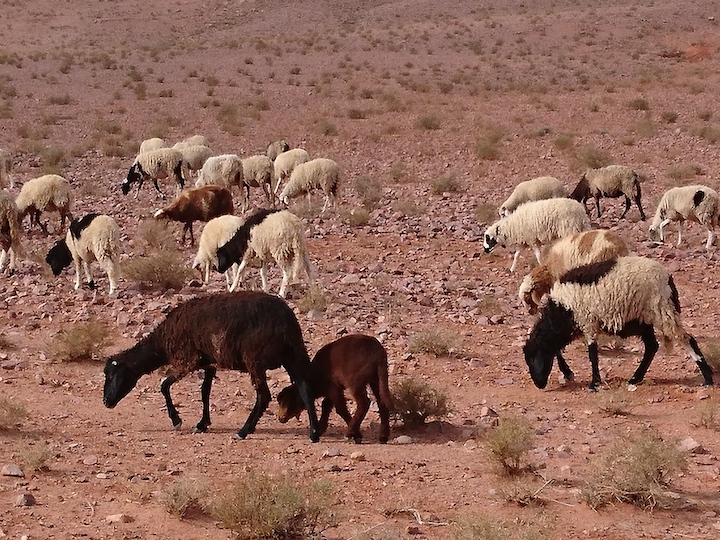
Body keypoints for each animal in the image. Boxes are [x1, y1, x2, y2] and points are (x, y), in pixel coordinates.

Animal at [103, 288, 320, 440]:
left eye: (112, 375)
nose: (106, 402)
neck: (161, 343)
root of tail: (286, 320)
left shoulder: (187, 359)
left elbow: (164, 386)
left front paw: (177, 420)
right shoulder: (208, 362)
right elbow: (205, 392)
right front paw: (202, 424)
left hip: (255, 358)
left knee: (264, 395)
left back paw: (243, 431)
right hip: (292, 354)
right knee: (304, 387)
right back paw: (314, 433)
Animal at [524, 255, 716, 390]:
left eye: (533, 360)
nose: (539, 385)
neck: (561, 311)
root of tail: (667, 276)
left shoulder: (588, 322)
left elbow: (592, 353)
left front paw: (594, 383)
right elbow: (558, 351)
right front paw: (569, 373)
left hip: (662, 309)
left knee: (686, 339)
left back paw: (708, 378)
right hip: (644, 319)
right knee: (652, 347)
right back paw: (635, 378)